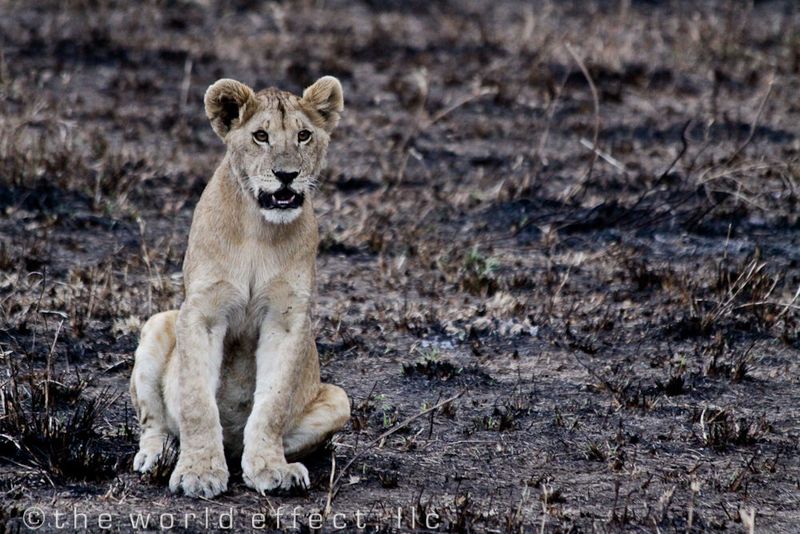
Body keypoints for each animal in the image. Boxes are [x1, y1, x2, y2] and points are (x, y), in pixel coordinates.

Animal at [128, 76, 351, 498]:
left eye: (304, 135)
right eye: (260, 136)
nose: (286, 175)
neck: (259, 229)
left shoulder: (287, 319)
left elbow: (272, 404)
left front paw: (270, 469)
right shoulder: (202, 313)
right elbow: (197, 401)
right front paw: (199, 472)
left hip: (339, 398)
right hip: (158, 323)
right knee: (155, 423)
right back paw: (156, 457)